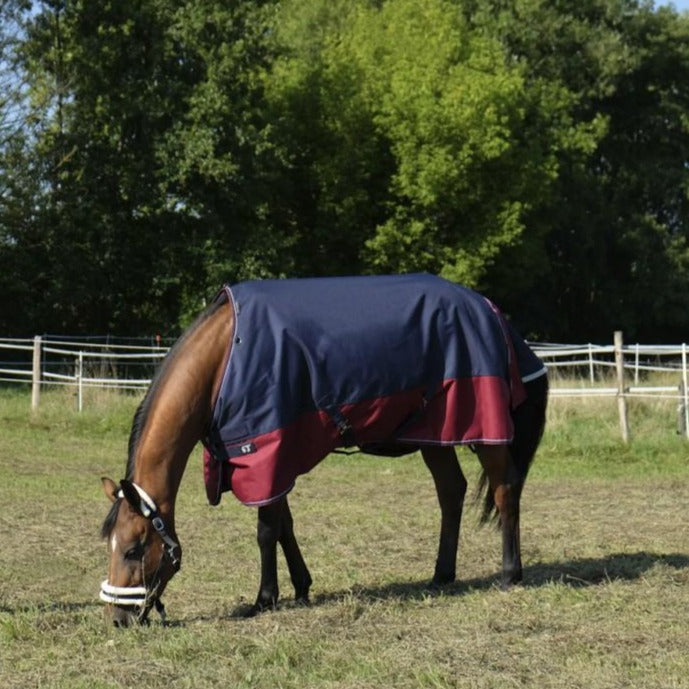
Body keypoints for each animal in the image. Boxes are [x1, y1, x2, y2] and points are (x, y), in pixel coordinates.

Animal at [99, 273, 548, 626]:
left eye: (135, 548)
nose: (118, 619)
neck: (224, 358)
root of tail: (491, 311)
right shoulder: (270, 463)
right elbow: (284, 525)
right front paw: (300, 586)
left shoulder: (267, 455)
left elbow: (266, 531)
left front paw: (265, 598)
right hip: (435, 434)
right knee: (451, 492)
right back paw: (442, 574)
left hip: (484, 429)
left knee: (505, 489)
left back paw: (510, 573)